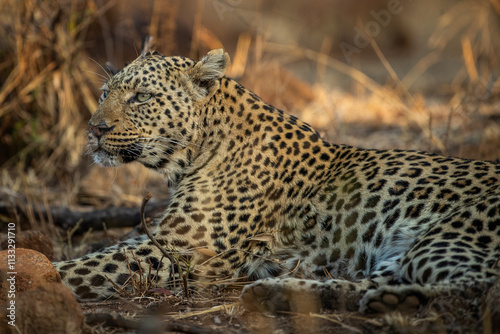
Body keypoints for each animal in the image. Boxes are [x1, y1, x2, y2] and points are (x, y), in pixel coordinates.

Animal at [52, 48, 498, 314]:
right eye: (104, 93)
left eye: (142, 97)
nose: (94, 128)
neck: (196, 152)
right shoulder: (162, 237)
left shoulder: (180, 250)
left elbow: (82, 268)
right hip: (400, 253)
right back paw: (287, 290)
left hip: (445, 235)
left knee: (479, 287)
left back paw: (397, 301)